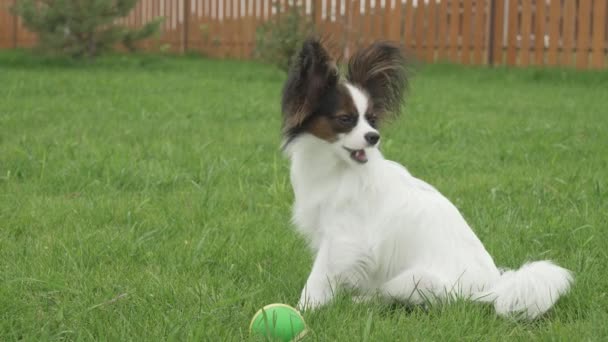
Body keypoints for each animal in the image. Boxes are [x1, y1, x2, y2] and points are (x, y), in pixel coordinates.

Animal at [280, 38, 576, 320]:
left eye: (372, 119)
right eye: (345, 119)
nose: (374, 136)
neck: (338, 168)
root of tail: (490, 290)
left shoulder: (342, 239)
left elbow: (317, 278)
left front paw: (304, 309)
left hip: (414, 280)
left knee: (389, 297)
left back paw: (361, 302)